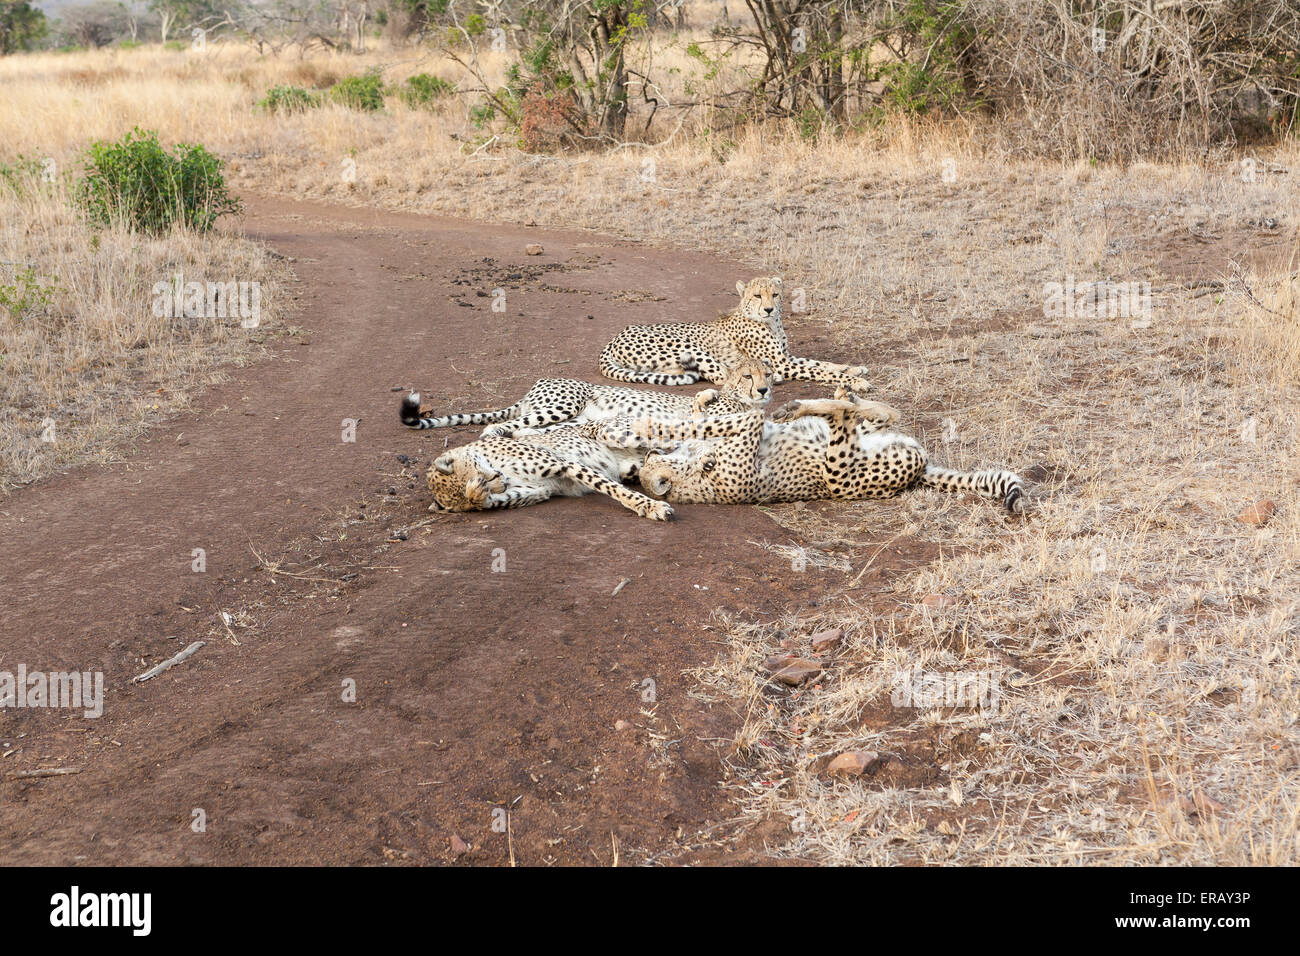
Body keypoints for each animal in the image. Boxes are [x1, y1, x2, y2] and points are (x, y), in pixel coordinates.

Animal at [426, 421, 670, 522]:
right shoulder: (536, 492)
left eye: (477, 470)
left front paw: (650, 507)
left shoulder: (567, 464)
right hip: (633, 468)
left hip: (618, 434)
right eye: (467, 505)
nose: (500, 483)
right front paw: (477, 494)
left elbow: (613, 489)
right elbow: (496, 501)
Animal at [600, 273, 873, 390]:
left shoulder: (786, 357)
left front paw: (854, 368)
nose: (769, 309)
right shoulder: (781, 362)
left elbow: (821, 363)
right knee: (720, 375)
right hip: (687, 344)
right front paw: (856, 381)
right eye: (757, 296)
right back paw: (771, 378)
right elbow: (819, 370)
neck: (772, 323)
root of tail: (614, 338)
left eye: (775, 294)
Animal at [613, 390, 1029, 515]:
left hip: (864, 437)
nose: (652, 455)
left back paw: (842, 396)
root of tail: (921, 472)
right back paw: (801, 406)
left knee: (880, 413)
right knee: (843, 416)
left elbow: (704, 417)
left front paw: (705, 399)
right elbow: (741, 420)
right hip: (837, 467)